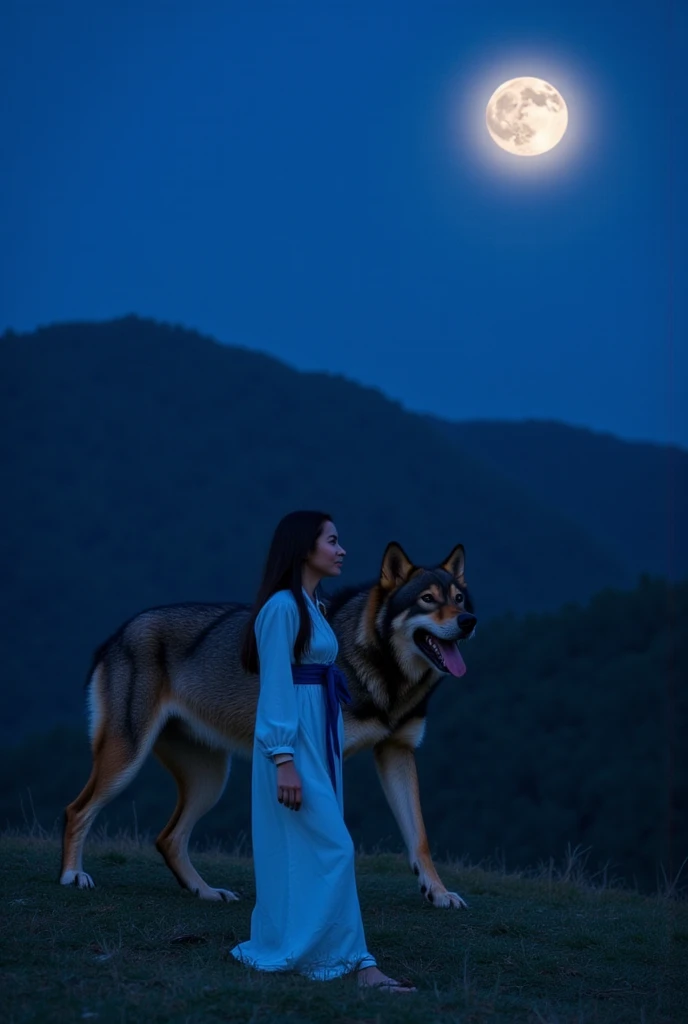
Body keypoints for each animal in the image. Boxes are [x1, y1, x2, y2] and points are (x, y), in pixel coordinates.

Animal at [60, 541, 477, 908]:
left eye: (458, 599)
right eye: (427, 599)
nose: (469, 621)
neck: (387, 675)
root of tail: (117, 633)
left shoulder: (397, 751)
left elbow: (419, 836)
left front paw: (439, 893)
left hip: (210, 780)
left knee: (168, 838)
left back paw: (207, 892)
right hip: (127, 761)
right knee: (77, 809)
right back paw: (72, 876)